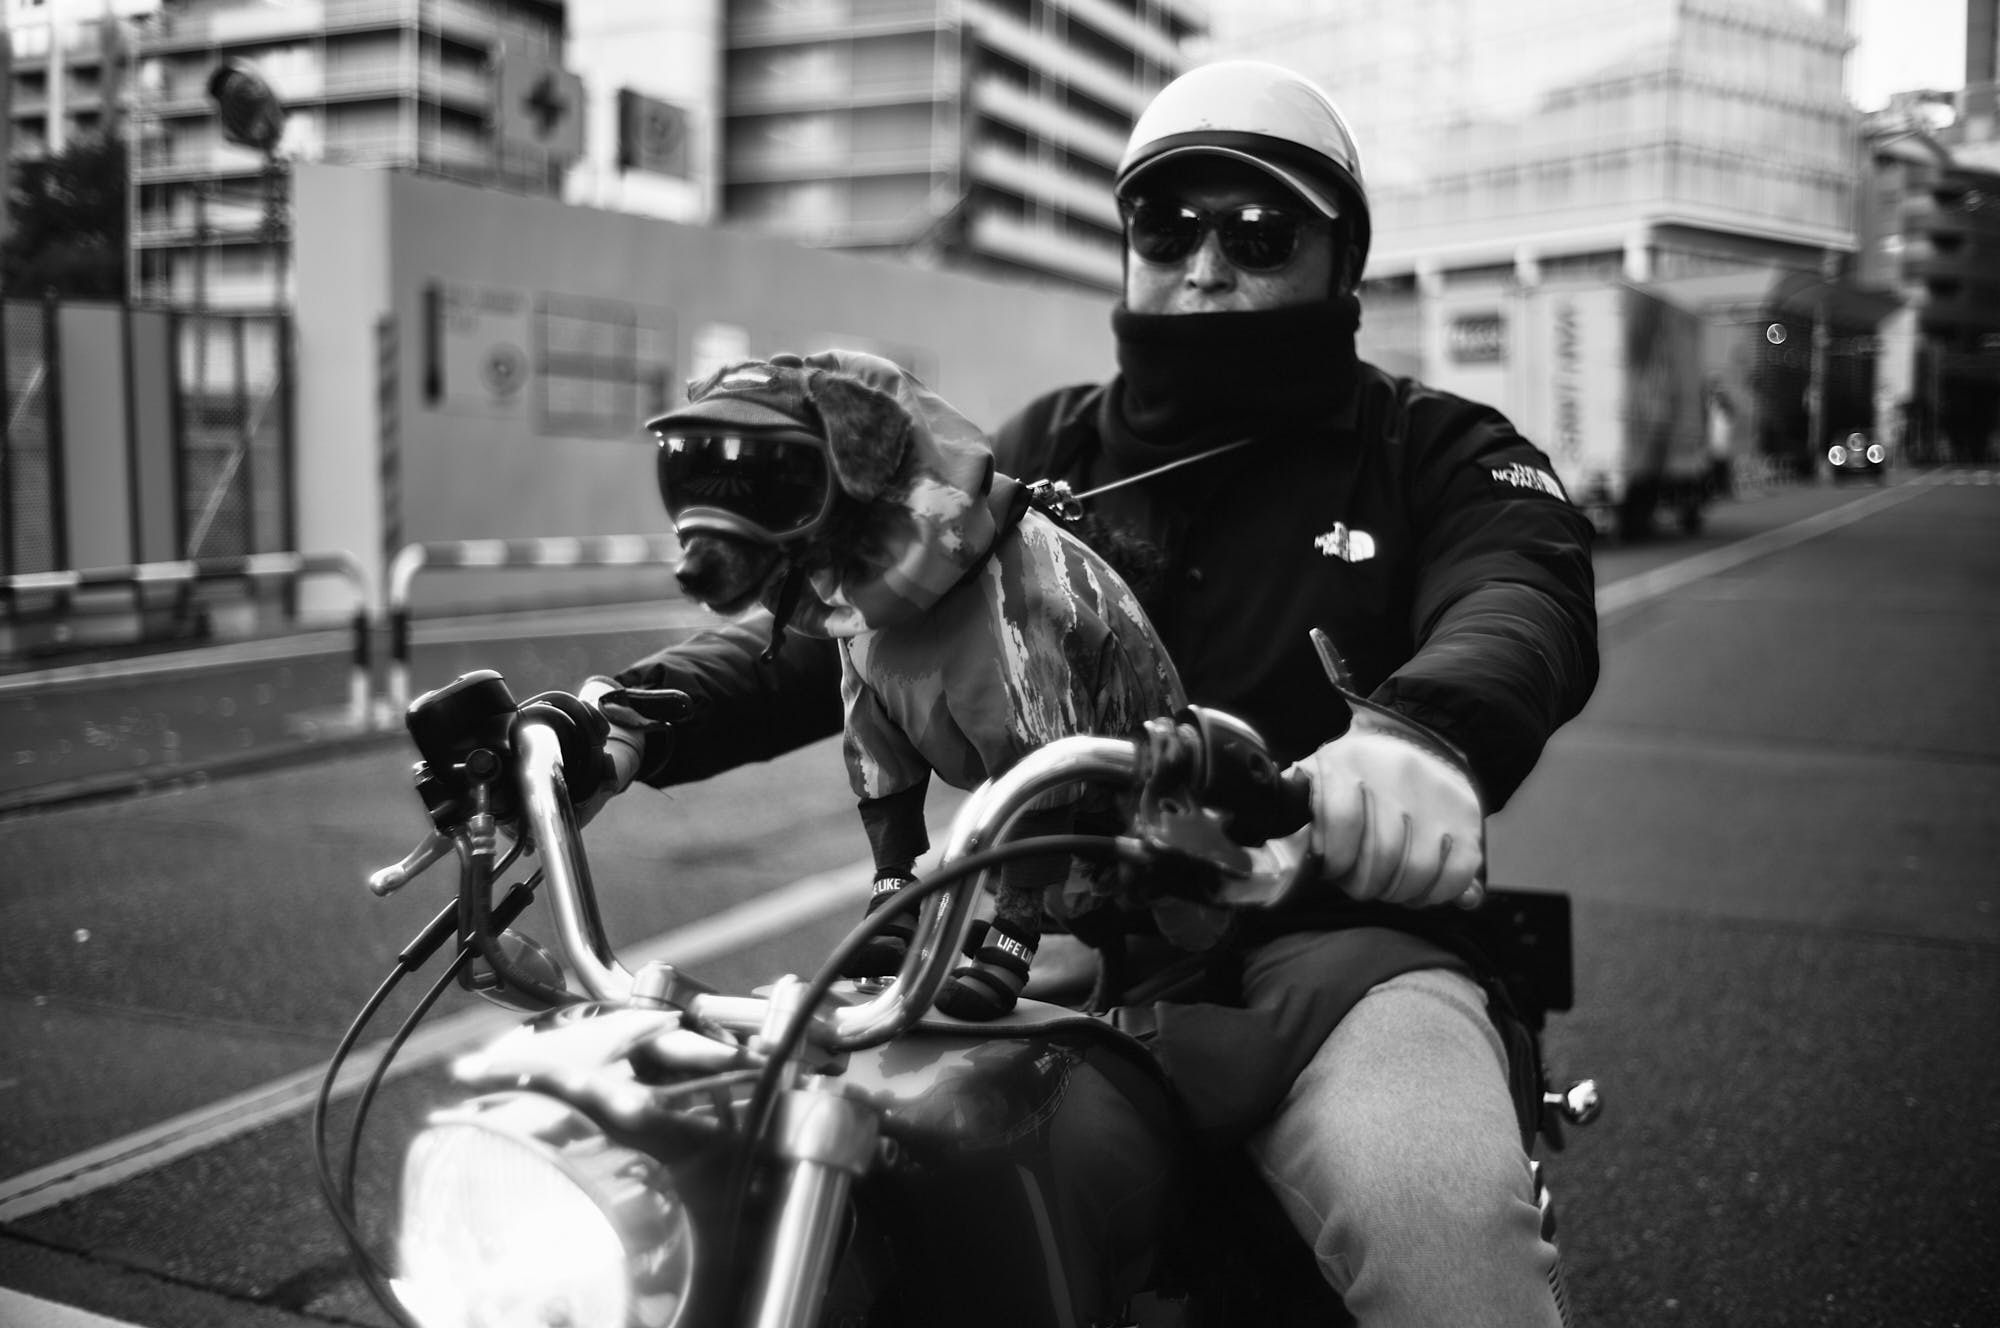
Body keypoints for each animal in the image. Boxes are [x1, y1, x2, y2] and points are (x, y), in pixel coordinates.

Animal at [648, 349, 1185, 1019]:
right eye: (683, 471)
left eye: (777, 478)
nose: (688, 571)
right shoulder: (872, 726)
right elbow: (892, 831)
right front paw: (884, 929)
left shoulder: (1035, 738)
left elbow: (1021, 877)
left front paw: (995, 970)